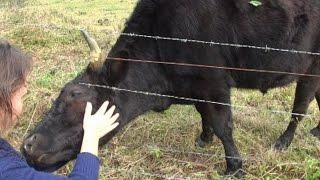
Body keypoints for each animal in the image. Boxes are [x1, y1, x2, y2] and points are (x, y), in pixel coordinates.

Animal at [21, 0, 320, 177]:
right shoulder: (197, 87)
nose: (27, 145)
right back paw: (316, 131)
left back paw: (283, 142)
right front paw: (204, 138)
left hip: (311, 67)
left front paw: (234, 167)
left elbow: (224, 125)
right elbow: (204, 113)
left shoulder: (215, 83)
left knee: (300, 107)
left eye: (77, 99)